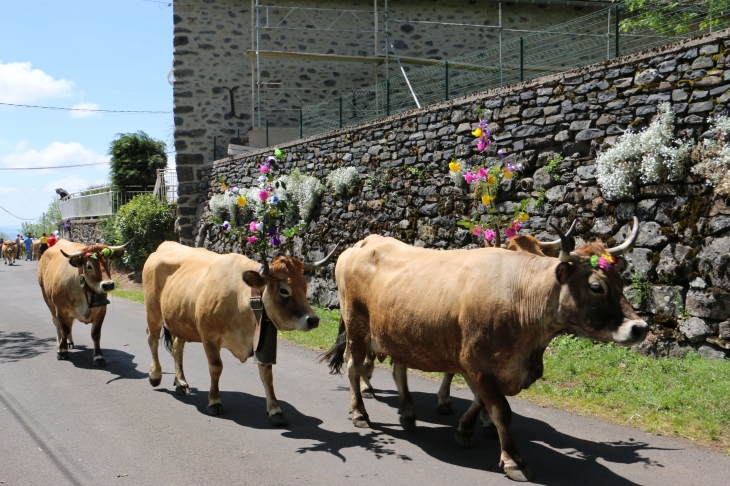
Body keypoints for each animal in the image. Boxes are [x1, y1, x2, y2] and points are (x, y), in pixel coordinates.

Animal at [143, 241, 338, 424]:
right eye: (283, 290)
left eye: (305, 287)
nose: (313, 319)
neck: (241, 300)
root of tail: (165, 245)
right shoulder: (209, 337)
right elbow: (216, 367)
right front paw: (214, 401)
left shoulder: (263, 339)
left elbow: (267, 374)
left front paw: (275, 410)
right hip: (153, 311)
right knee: (152, 339)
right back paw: (155, 375)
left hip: (179, 320)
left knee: (177, 347)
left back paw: (181, 382)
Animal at [328, 218, 644, 480]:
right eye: (596, 287)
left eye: (621, 281)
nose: (639, 327)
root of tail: (361, 244)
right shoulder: (477, 362)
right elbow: (501, 410)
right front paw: (513, 460)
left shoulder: (484, 366)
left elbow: (482, 401)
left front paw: (466, 429)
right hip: (356, 326)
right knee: (354, 367)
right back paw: (360, 413)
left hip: (401, 332)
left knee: (398, 370)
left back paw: (407, 413)